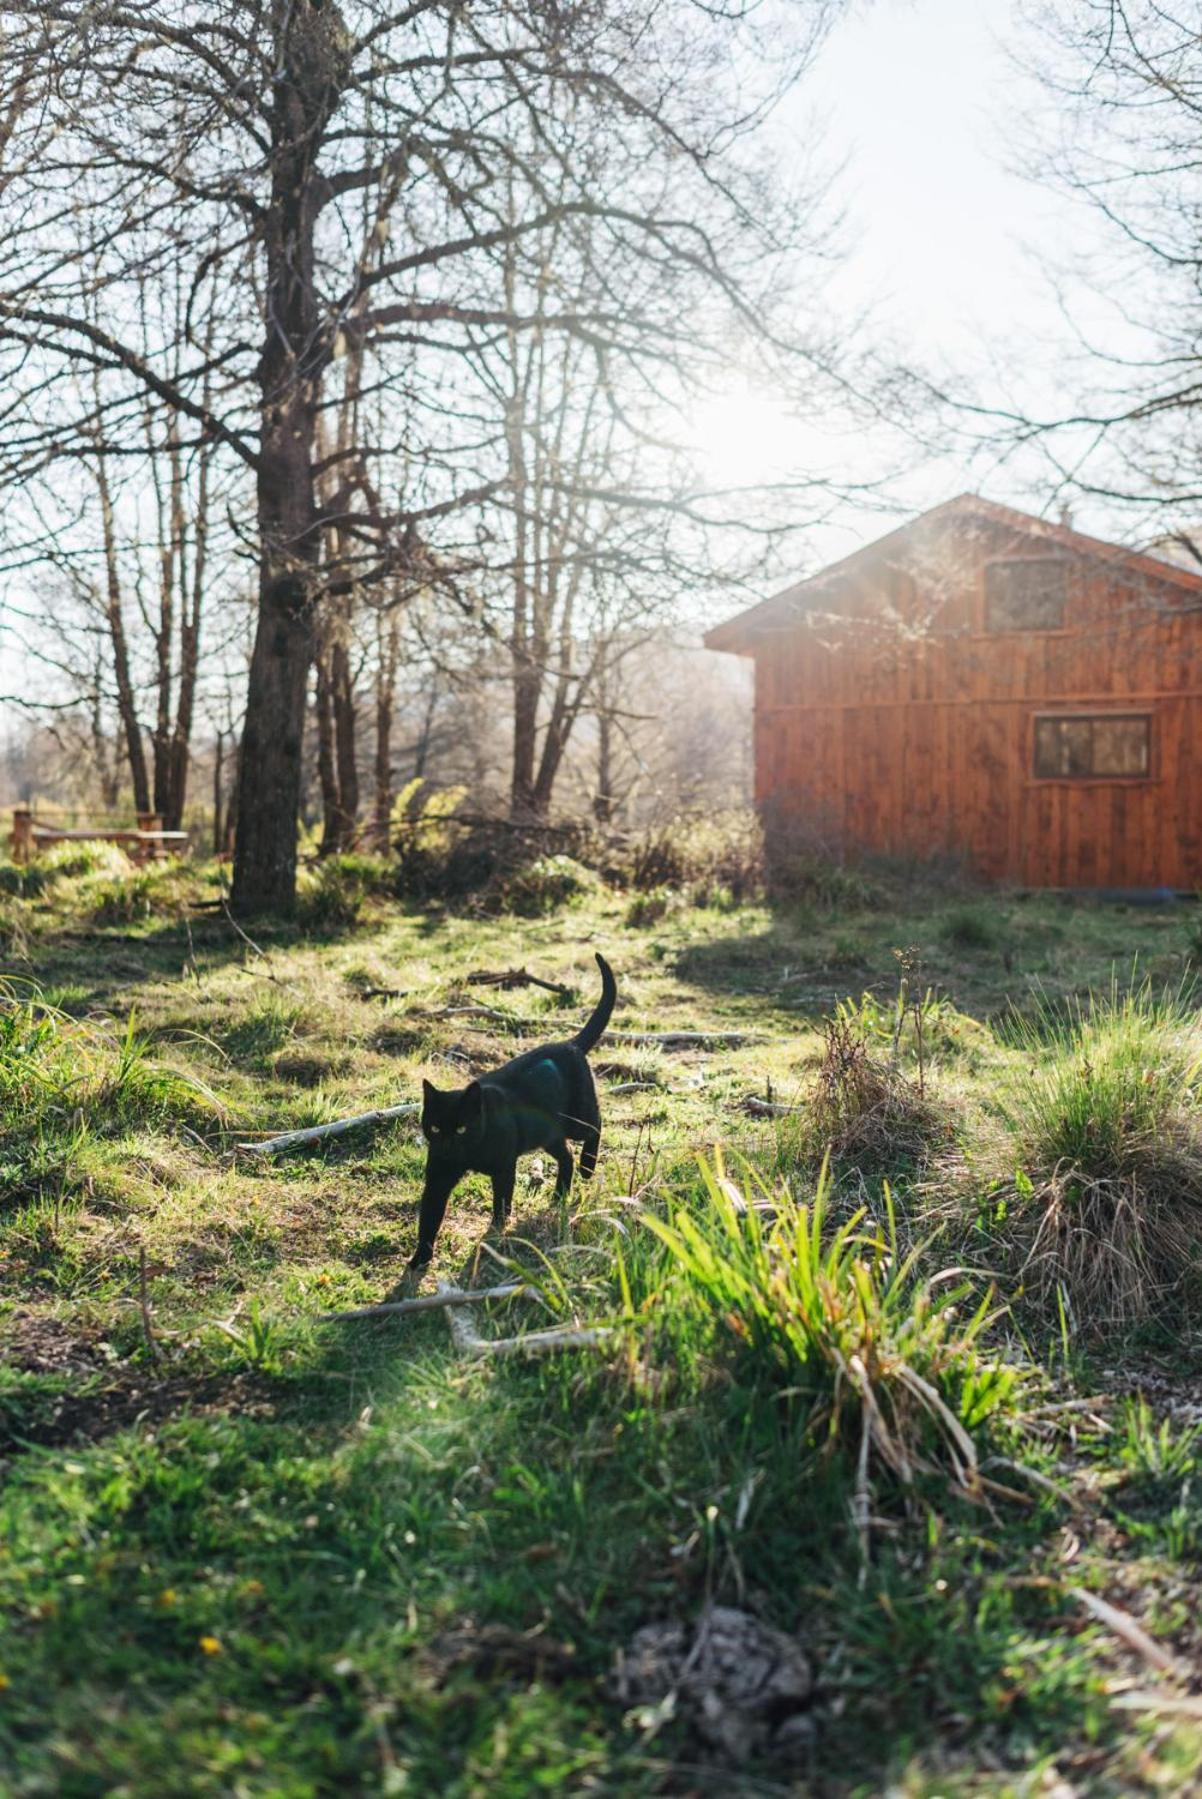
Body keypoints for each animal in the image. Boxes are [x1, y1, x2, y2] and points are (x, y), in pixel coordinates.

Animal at [413, 957, 618, 1266]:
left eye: (461, 1128)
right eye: (435, 1127)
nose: (448, 1145)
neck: (468, 1153)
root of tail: (569, 1044)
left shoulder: (504, 1167)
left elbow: (501, 1201)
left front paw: (495, 1234)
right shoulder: (439, 1174)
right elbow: (429, 1216)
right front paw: (419, 1259)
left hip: (577, 1119)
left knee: (596, 1127)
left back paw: (587, 1168)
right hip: (548, 1135)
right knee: (567, 1155)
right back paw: (559, 1195)